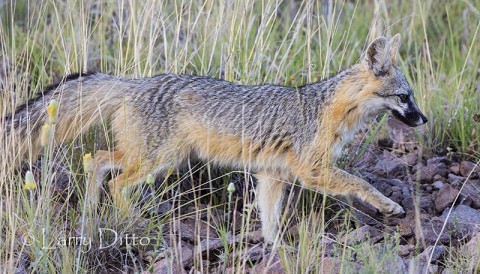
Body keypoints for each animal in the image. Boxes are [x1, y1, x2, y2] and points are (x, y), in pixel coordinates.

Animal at [4, 33, 428, 242]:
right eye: (404, 97)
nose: (424, 119)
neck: (329, 108)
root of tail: (135, 82)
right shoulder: (311, 169)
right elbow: (359, 182)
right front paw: (390, 205)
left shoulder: (272, 174)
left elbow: (269, 217)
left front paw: (275, 247)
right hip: (159, 160)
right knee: (116, 181)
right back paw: (126, 220)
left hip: (149, 156)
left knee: (96, 161)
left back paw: (92, 214)